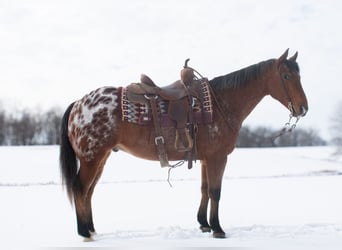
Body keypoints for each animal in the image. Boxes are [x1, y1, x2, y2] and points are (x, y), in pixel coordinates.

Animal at [60, 48, 308, 238]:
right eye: (286, 76)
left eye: (299, 75)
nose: (303, 108)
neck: (221, 103)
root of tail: (78, 104)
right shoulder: (218, 157)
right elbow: (216, 192)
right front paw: (218, 228)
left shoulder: (206, 158)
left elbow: (205, 189)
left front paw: (204, 224)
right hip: (92, 159)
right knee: (80, 188)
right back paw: (84, 232)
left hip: (100, 158)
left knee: (89, 191)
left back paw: (91, 228)